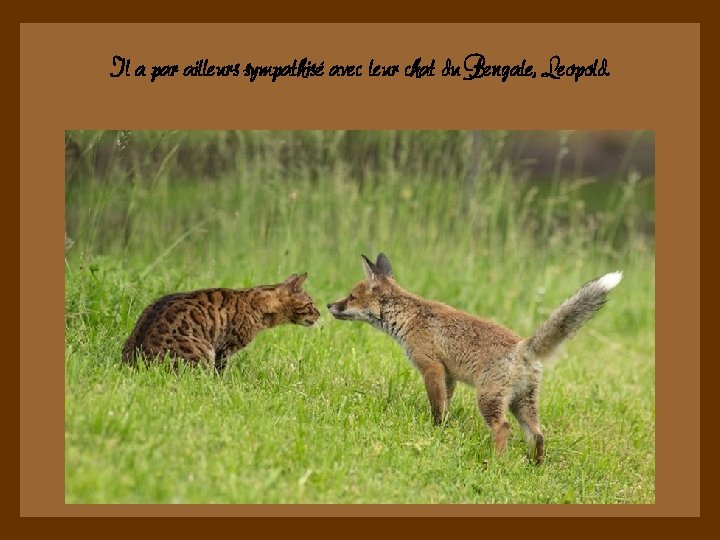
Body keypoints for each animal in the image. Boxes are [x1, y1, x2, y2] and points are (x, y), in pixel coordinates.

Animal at [330, 254, 620, 464]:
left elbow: (437, 407)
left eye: (351, 297)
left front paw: (435, 431)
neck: (409, 317)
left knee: (503, 428)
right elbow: (445, 405)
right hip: (522, 403)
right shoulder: (448, 375)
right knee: (538, 435)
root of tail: (523, 346)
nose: (329, 305)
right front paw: (442, 430)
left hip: (488, 399)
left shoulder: (431, 367)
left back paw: (495, 463)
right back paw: (534, 466)